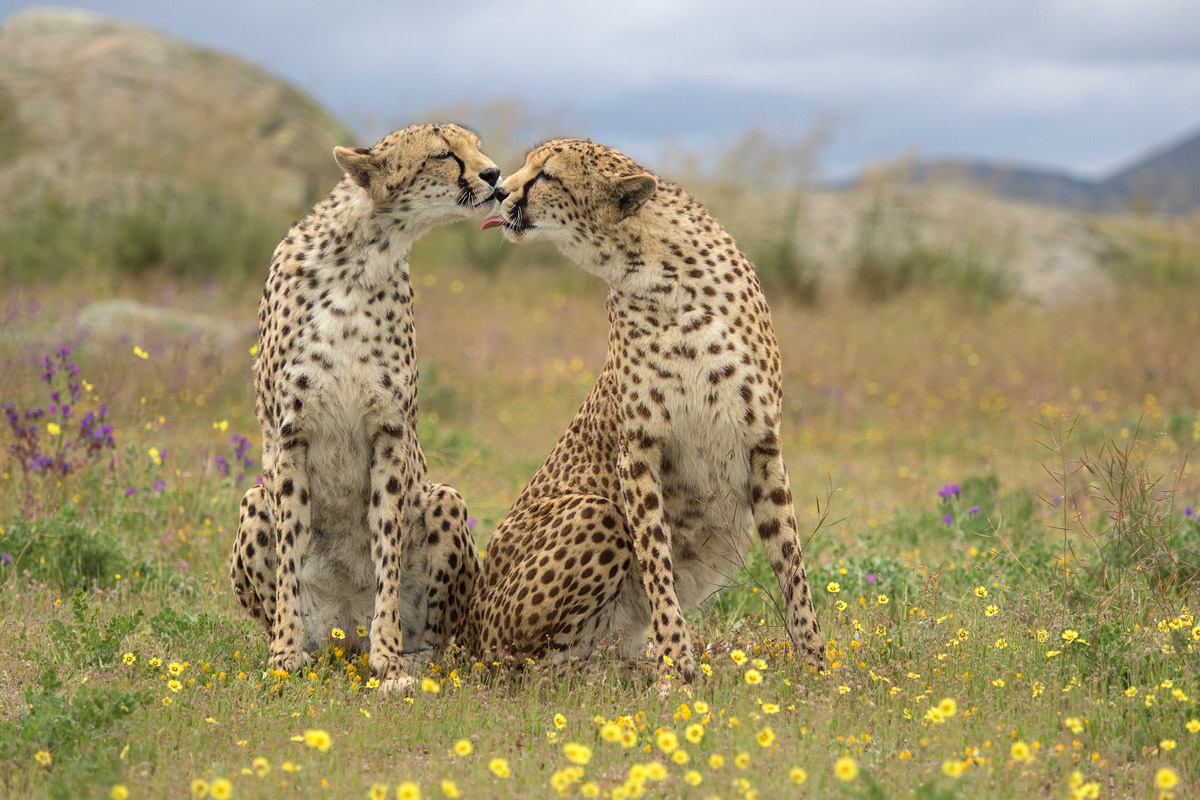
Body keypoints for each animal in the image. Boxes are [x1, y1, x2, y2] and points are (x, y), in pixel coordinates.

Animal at [226, 123, 494, 690]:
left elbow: (386, 547)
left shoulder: (388, 432)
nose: (495, 174)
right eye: (444, 153)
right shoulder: (290, 435)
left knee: (440, 643)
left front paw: (387, 658)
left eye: (476, 146)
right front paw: (284, 654)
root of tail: (342, 635)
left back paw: (409, 659)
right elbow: (290, 550)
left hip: (446, 498)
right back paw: (306, 646)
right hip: (252, 501)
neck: (363, 255)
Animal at [468, 137, 825, 681]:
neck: (663, 275)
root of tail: (466, 626)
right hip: (591, 517)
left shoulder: (763, 443)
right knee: (519, 661)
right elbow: (658, 565)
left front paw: (819, 665)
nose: (500, 191)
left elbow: (792, 562)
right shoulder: (637, 451)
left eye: (546, 174)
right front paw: (677, 670)